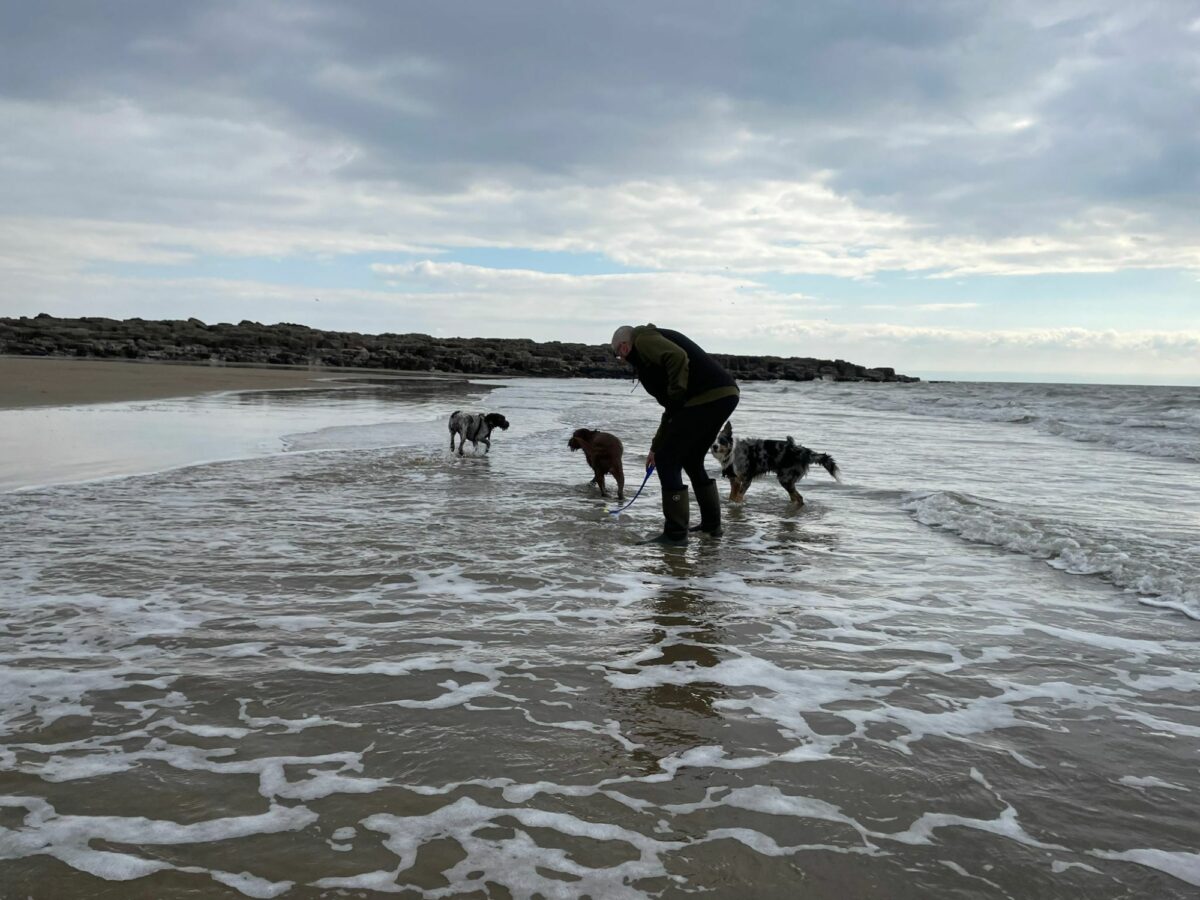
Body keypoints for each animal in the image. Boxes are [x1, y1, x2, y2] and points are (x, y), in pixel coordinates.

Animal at [710, 422, 844, 508]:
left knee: (799, 498)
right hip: (787, 480)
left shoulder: (746, 479)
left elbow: (738, 497)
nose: (714, 446)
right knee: (796, 498)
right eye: (712, 441)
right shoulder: (734, 480)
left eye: (722, 440)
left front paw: (737, 505)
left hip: (785, 478)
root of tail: (804, 451)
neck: (731, 453)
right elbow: (732, 496)